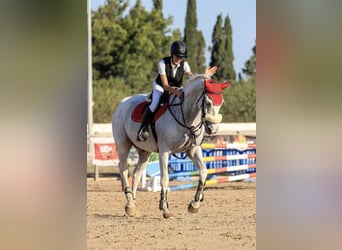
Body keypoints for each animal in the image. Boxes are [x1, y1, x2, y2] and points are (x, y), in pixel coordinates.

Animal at [111, 75, 230, 218]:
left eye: (221, 103)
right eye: (208, 102)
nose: (213, 129)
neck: (186, 116)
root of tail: (122, 103)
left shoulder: (193, 150)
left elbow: (203, 172)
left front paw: (194, 204)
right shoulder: (164, 152)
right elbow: (164, 179)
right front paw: (165, 209)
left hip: (144, 151)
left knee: (137, 173)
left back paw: (132, 205)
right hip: (123, 144)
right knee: (123, 169)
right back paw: (129, 203)